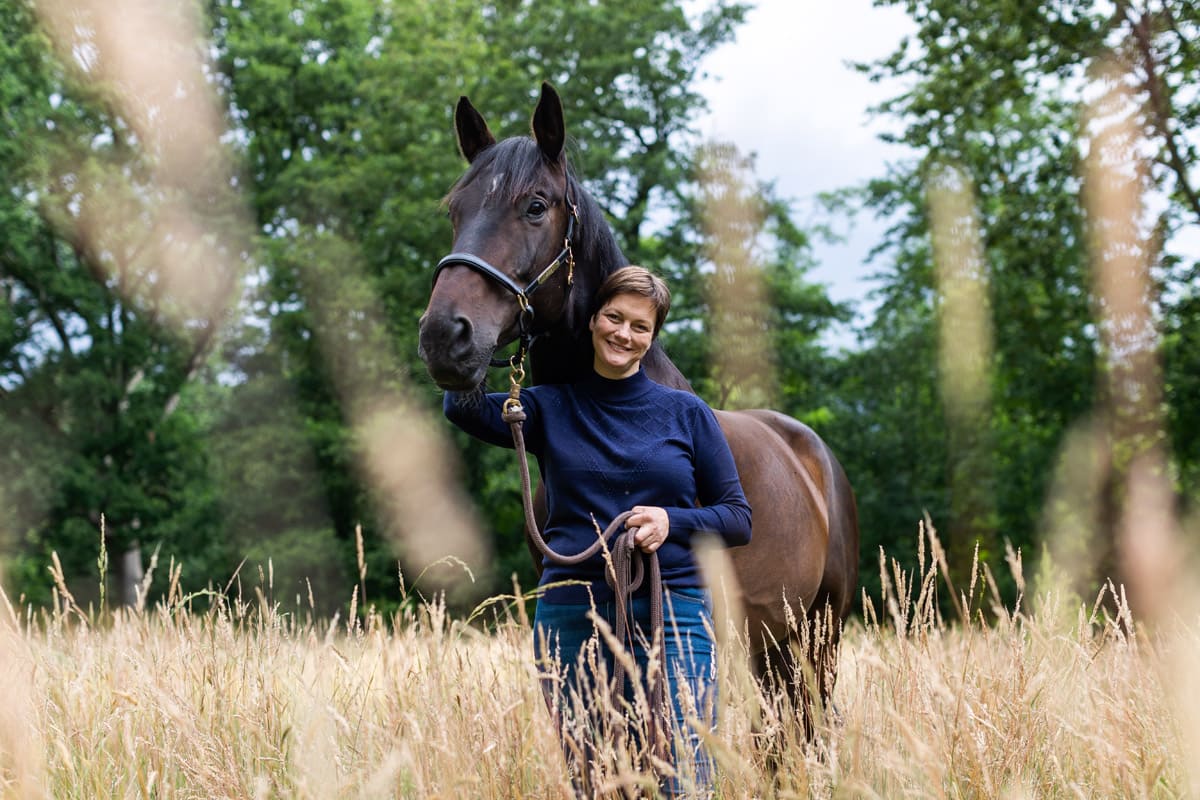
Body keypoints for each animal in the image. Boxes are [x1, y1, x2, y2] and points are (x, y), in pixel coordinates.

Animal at [417, 81, 859, 738]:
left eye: (536, 206)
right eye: (456, 210)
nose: (445, 336)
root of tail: (815, 455)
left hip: (814, 641)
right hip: (773, 648)